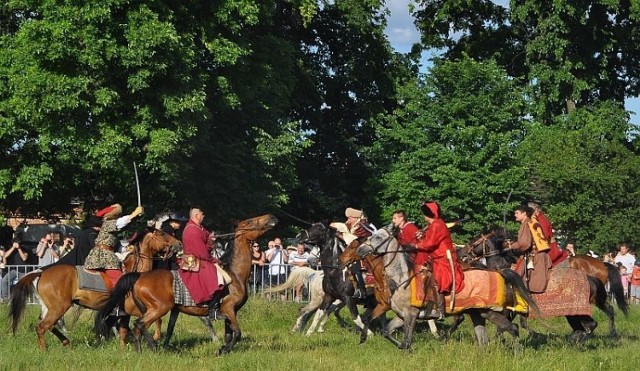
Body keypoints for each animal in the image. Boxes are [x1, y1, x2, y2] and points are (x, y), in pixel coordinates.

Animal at [8, 230, 182, 352]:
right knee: (42, 327)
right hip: (59, 307)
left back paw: (66, 343)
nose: (179, 244)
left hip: (50, 308)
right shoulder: (134, 308)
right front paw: (154, 338)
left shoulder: (123, 312)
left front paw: (122, 349)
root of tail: (41, 273)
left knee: (49, 326)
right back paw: (45, 351)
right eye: (162, 233)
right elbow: (154, 320)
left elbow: (123, 330)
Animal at [94, 214, 278, 356]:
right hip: (159, 307)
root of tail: (139, 275)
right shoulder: (229, 309)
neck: (235, 275)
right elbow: (238, 333)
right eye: (250, 222)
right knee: (139, 324)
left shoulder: (231, 312)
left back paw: (140, 351)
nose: (271, 217)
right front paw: (222, 350)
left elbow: (229, 335)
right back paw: (152, 346)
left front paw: (223, 349)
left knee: (135, 327)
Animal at [352, 225, 536, 350]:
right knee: (487, 337)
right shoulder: (401, 316)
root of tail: (499, 273)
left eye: (377, 237)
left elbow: (406, 341)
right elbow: (387, 332)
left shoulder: (411, 315)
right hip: (478, 313)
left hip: (489, 311)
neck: (402, 279)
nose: (360, 249)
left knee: (510, 328)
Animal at [458, 231, 624, 342]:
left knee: (593, 321)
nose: (461, 253)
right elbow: (518, 324)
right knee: (605, 312)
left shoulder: (509, 309)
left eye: (474, 241)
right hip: (593, 301)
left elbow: (507, 325)